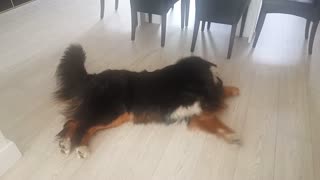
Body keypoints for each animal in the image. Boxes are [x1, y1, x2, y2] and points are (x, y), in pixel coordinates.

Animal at [54, 44, 240, 158]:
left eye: (211, 81)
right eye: (207, 84)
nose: (216, 103)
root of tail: (94, 77)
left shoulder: (197, 114)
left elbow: (215, 122)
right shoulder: (198, 107)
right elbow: (215, 110)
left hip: (115, 116)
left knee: (77, 122)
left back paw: (66, 143)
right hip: (110, 110)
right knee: (82, 125)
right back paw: (80, 147)